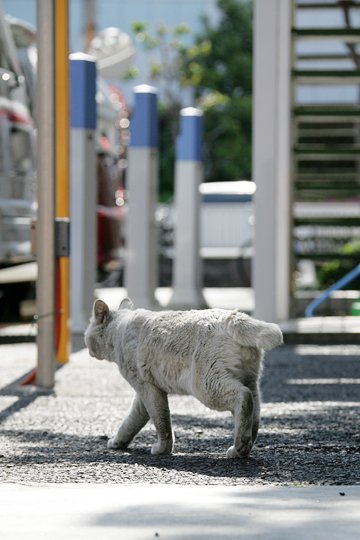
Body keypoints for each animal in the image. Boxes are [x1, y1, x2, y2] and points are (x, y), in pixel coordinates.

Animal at [84, 298, 282, 458]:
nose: (88, 350)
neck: (119, 329)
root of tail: (233, 316)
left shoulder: (147, 388)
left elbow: (162, 423)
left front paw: (162, 450)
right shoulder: (146, 392)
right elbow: (132, 421)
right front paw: (118, 443)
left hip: (207, 387)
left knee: (243, 397)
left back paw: (239, 447)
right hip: (250, 381)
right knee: (254, 414)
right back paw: (243, 448)